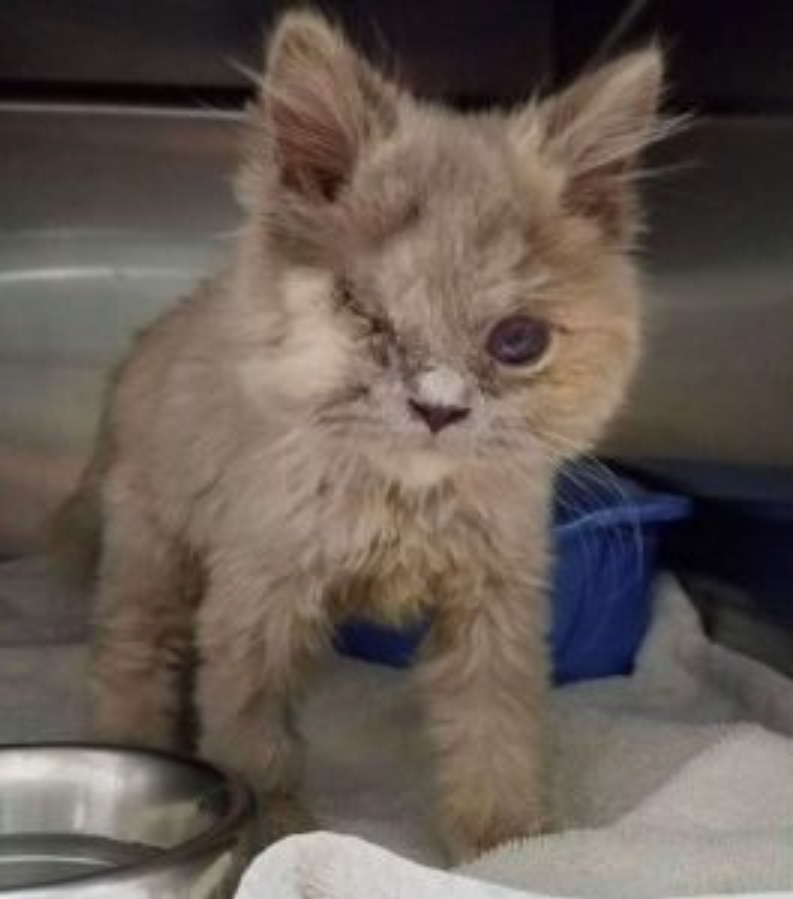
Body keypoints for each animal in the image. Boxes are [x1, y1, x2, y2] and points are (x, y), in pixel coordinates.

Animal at [52, 8, 668, 864]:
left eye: (517, 341)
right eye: (367, 316)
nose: (438, 407)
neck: (402, 499)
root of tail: (147, 343)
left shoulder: (494, 606)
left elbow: (495, 737)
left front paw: (510, 847)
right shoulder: (257, 600)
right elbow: (254, 739)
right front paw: (278, 833)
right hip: (153, 547)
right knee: (132, 656)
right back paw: (134, 742)